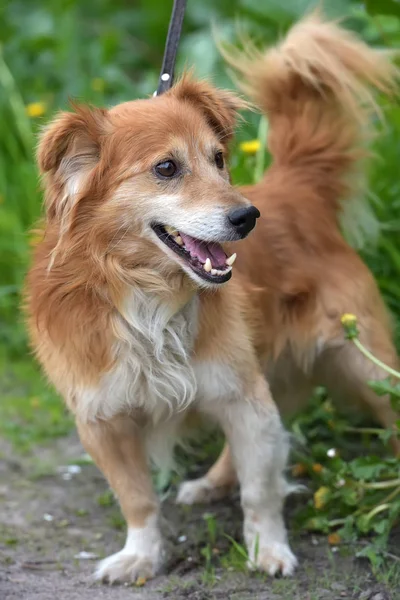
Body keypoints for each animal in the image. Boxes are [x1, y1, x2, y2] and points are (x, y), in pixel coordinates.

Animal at [25, 14, 396, 584]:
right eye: (166, 168)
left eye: (218, 159)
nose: (248, 217)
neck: (146, 292)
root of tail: (296, 189)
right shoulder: (101, 418)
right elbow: (137, 498)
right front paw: (141, 555)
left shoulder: (242, 395)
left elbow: (261, 491)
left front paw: (269, 548)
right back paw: (213, 482)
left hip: (366, 364)